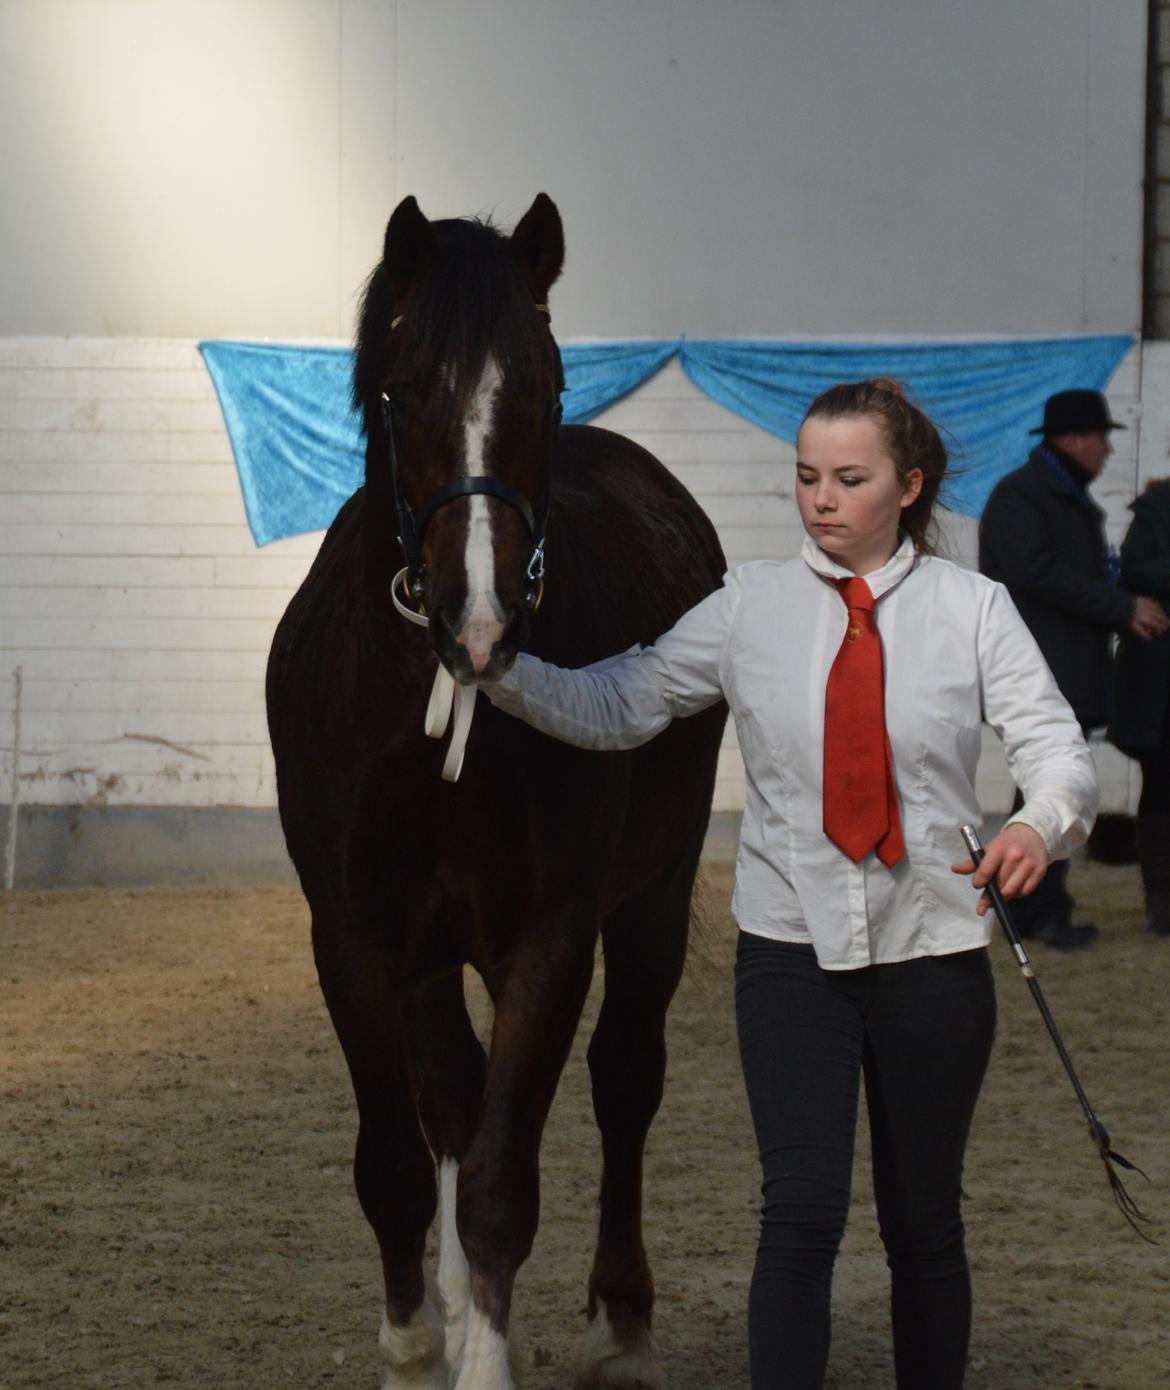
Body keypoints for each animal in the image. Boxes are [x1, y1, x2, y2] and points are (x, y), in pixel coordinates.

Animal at [268, 195, 722, 1390]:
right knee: (452, 1099)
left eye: (551, 389)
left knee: (625, 1078)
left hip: (655, 895)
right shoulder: (360, 936)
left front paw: (484, 1353)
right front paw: (415, 1340)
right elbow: (398, 1160)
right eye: (400, 388)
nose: (480, 622)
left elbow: (501, 1187)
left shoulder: (549, 938)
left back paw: (619, 1319)